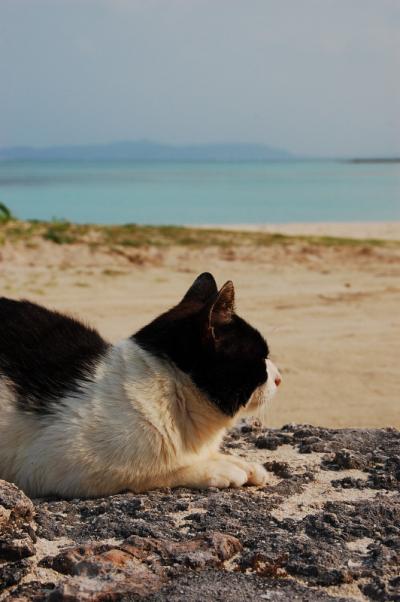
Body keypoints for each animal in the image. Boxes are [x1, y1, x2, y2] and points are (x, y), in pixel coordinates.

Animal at [0, 274, 282, 496]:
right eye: (261, 357)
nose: (279, 377)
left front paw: (240, 463)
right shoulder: (55, 464)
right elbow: (154, 471)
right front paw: (216, 468)